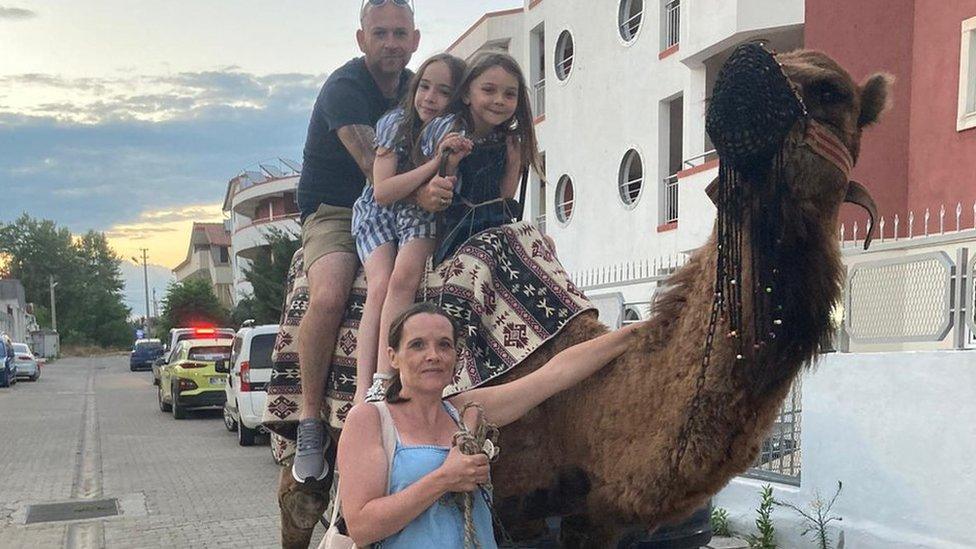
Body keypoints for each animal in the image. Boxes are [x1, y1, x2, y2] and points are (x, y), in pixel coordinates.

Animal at [274, 47, 892, 548]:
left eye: (832, 91)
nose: (744, 69)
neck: (588, 412)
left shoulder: (592, 517)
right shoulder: (509, 503)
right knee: (298, 506)